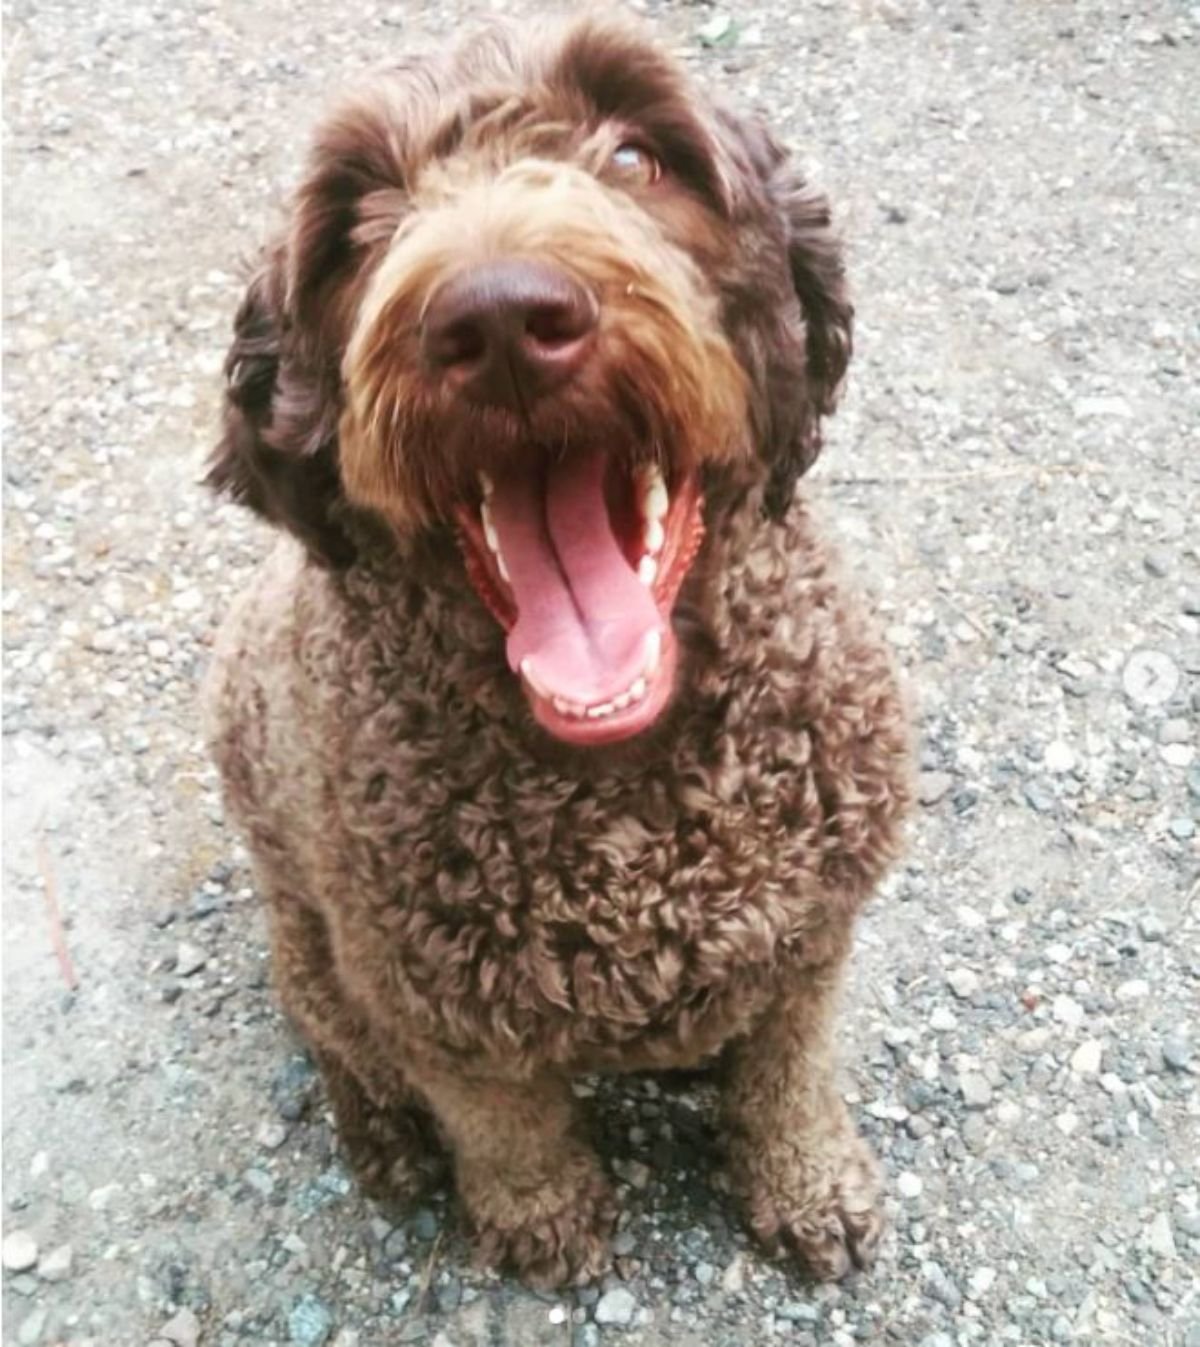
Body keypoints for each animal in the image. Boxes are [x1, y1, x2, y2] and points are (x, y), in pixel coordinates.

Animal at [206, 15, 915, 1287]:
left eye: (638, 157)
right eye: (357, 225)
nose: (496, 318)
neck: (628, 801)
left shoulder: (812, 938)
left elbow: (788, 1073)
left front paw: (809, 1182)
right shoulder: (433, 1007)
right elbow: (505, 1119)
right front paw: (540, 1215)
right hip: (311, 953)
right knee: (344, 1048)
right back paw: (386, 1142)